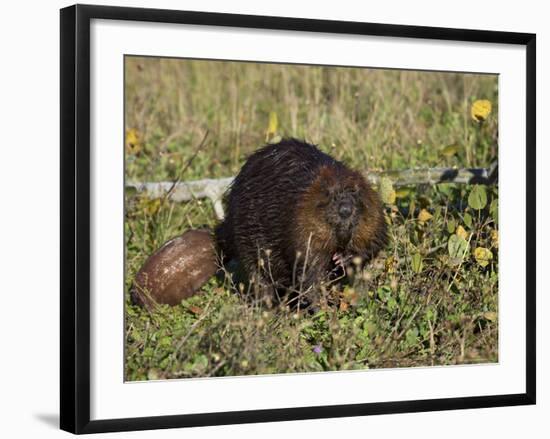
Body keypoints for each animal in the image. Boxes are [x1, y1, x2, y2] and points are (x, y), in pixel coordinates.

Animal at [216, 139, 388, 308]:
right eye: (329, 193)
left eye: (355, 192)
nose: (345, 209)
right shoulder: (300, 223)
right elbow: (309, 267)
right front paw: (321, 306)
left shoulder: (374, 217)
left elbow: (374, 242)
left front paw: (343, 258)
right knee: (259, 276)